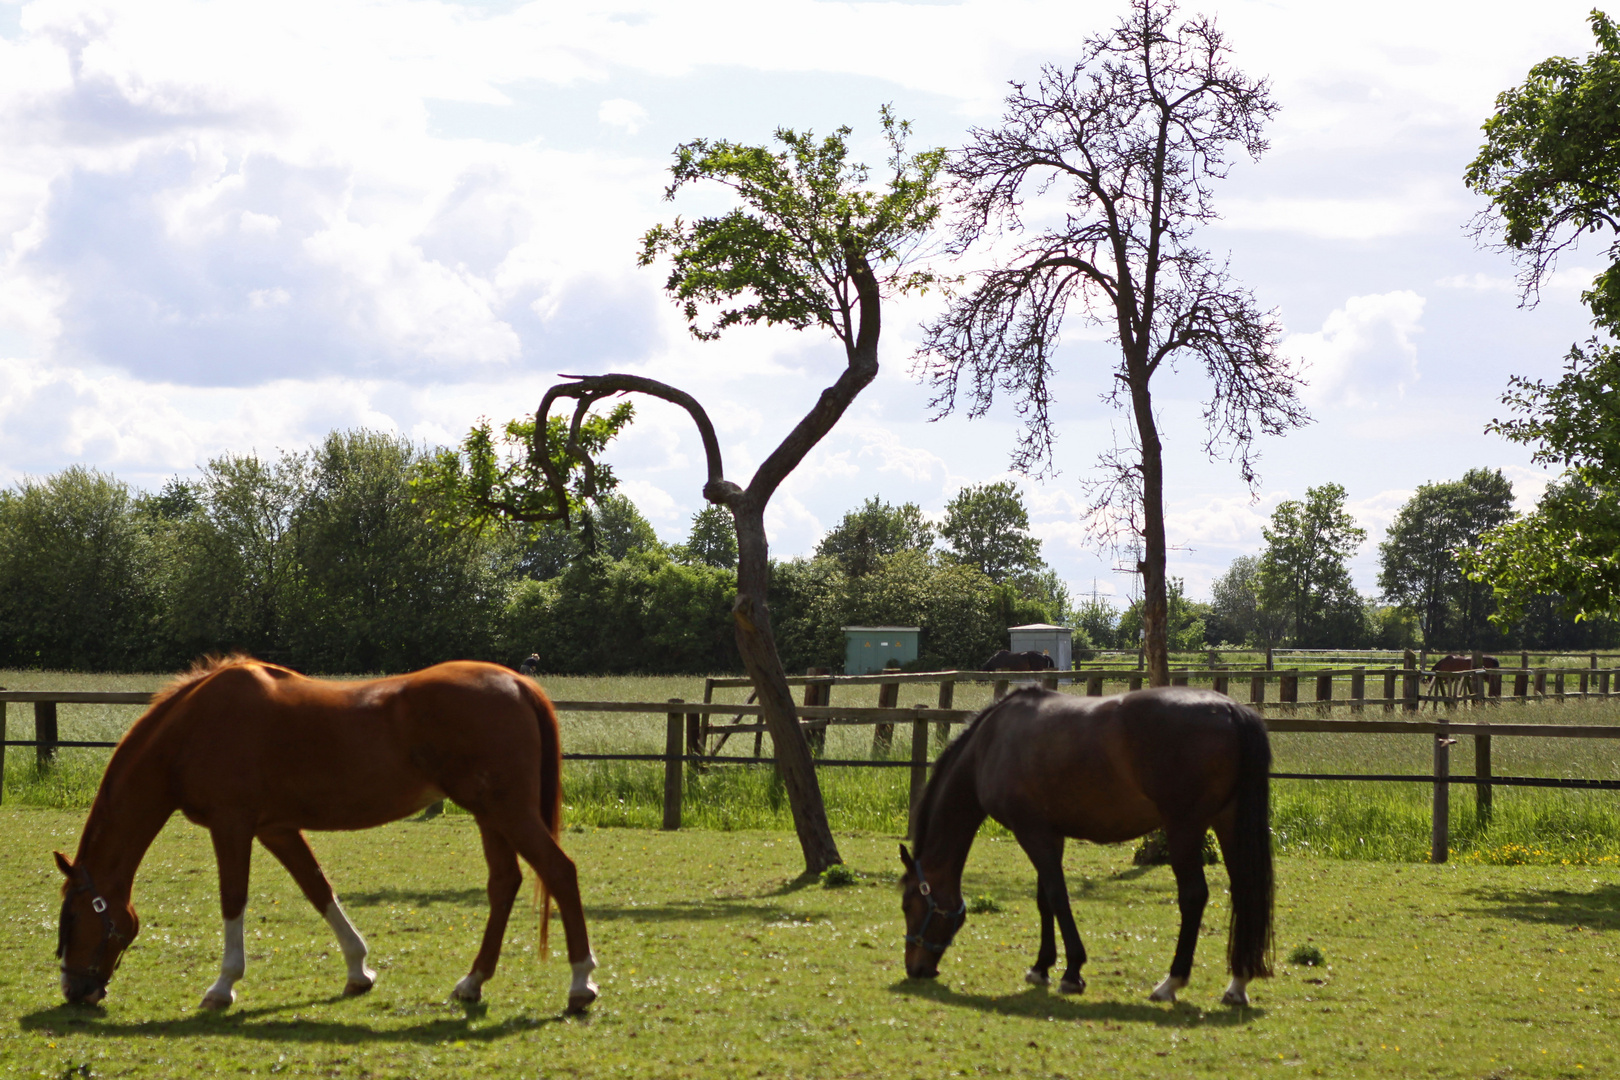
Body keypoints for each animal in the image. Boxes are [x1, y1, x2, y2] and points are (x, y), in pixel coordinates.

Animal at [57, 654, 605, 1016]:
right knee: (504, 884)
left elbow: (234, 899)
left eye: (72, 918)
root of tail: (517, 682)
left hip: (508, 812)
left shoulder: (232, 825)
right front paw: (359, 971)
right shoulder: (276, 829)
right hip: (490, 815)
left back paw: (581, 984)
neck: (192, 729)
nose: (74, 991)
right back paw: (472, 982)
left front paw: (223, 986)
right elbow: (318, 888)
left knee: (559, 871)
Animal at [907, 689, 1270, 1010]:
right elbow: (1044, 899)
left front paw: (1071, 973)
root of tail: (1230, 710)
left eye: (909, 904)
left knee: (1194, 896)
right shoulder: (1049, 834)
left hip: (1184, 829)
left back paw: (1171, 983)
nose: (915, 969)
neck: (991, 743)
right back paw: (1237, 984)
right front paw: (1041, 967)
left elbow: (1057, 896)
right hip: (1227, 822)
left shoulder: (1031, 832)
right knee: (1244, 892)